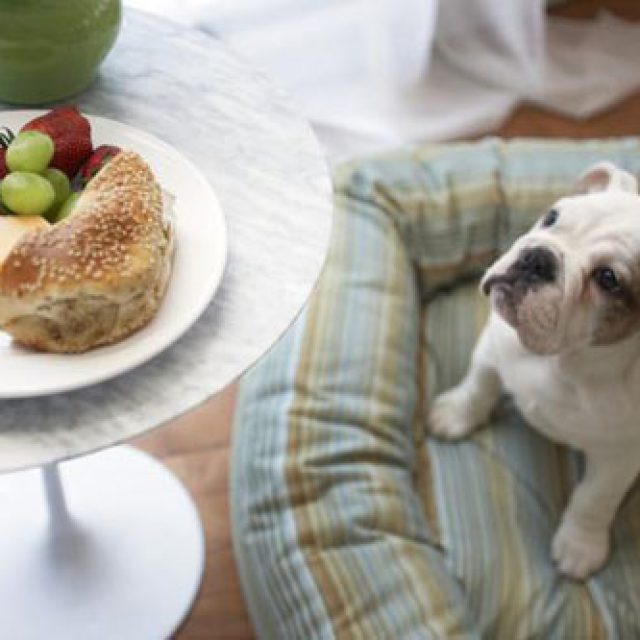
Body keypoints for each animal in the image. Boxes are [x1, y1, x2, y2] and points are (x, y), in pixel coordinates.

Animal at [428, 161, 640, 580]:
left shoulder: (620, 457)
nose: (538, 257)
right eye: (552, 217)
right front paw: (456, 414)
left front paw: (579, 545)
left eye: (608, 279)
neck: (563, 360)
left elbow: (593, 498)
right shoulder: (492, 346)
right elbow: (478, 385)